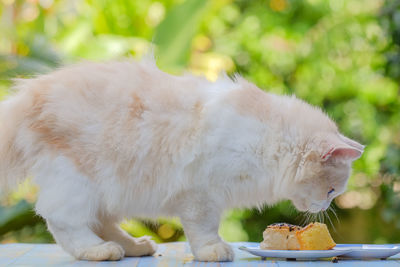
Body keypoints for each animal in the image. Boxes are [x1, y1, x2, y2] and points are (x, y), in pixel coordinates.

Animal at [0, 58, 362, 262]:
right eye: (331, 191)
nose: (324, 208)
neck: (267, 142)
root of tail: (26, 97)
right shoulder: (201, 195)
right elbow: (204, 231)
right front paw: (214, 252)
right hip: (79, 182)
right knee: (62, 221)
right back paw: (99, 251)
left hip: (109, 192)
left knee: (102, 223)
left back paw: (134, 246)